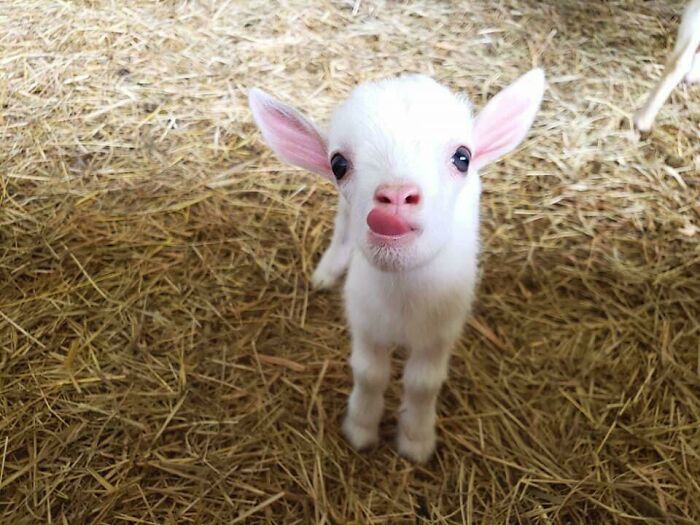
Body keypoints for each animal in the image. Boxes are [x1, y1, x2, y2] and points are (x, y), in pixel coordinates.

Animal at [249, 67, 544, 460]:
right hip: (345, 215)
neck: (403, 298)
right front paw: (361, 428)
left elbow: (423, 384)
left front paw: (416, 440)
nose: (396, 195)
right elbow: (369, 374)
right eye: (338, 164)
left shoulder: (441, 332)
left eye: (462, 158)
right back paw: (327, 271)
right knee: (343, 230)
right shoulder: (365, 322)